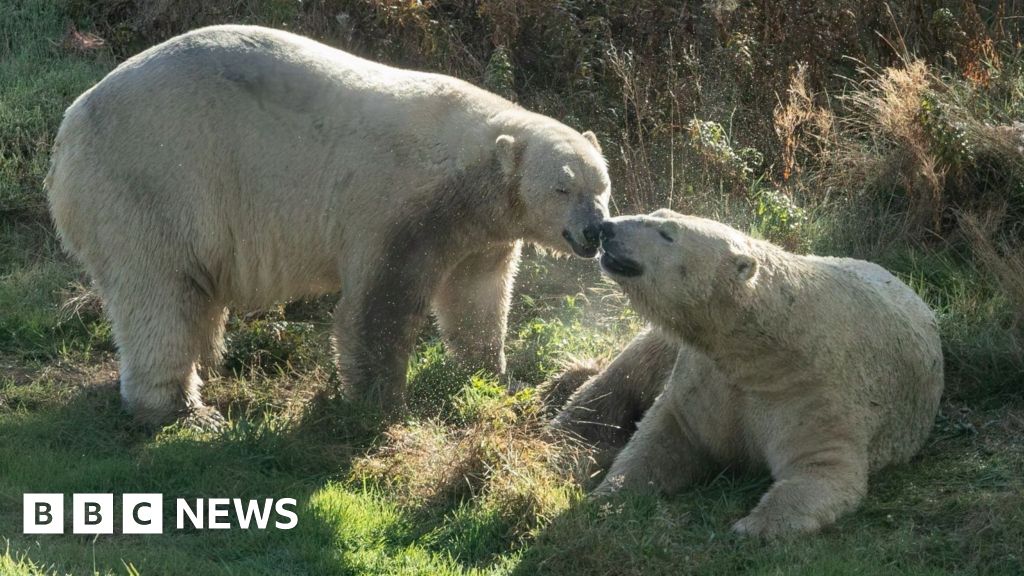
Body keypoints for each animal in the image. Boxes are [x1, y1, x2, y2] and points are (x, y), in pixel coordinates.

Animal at [45, 25, 611, 428]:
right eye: (562, 188)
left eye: (601, 185)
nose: (595, 231)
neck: (465, 166)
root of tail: (68, 130)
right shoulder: (393, 204)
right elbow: (380, 303)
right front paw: (380, 405)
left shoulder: (479, 229)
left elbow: (477, 295)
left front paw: (493, 375)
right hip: (151, 184)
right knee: (160, 294)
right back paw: (183, 409)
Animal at [553, 209, 944, 538]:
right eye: (656, 212)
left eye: (667, 232)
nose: (606, 228)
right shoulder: (705, 375)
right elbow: (662, 438)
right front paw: (607, 494)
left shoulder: (817, 393)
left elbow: (823, 467)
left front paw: (752, 526)